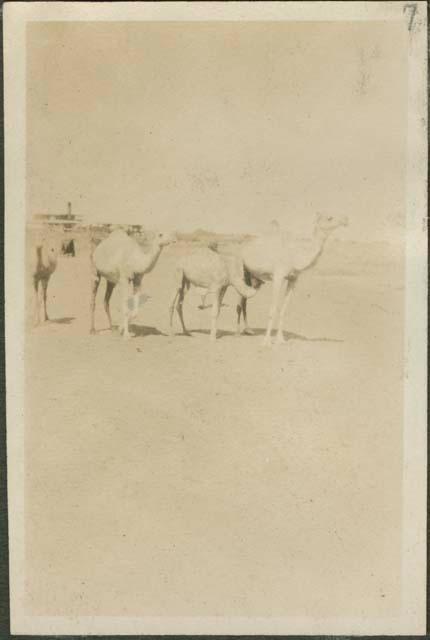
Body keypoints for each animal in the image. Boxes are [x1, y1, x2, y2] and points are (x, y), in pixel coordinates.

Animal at [240, 214, 348, 344]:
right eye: (329, 218)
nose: (346, 219)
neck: (295, 255)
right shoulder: (278, 276)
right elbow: (273, 309)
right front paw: (266, 342)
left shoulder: (293, 279)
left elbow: (283, 310)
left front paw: (280, 340)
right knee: (242, 301)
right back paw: (242, 330)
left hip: (250, 275)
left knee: (243, 300)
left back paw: (247, 330)